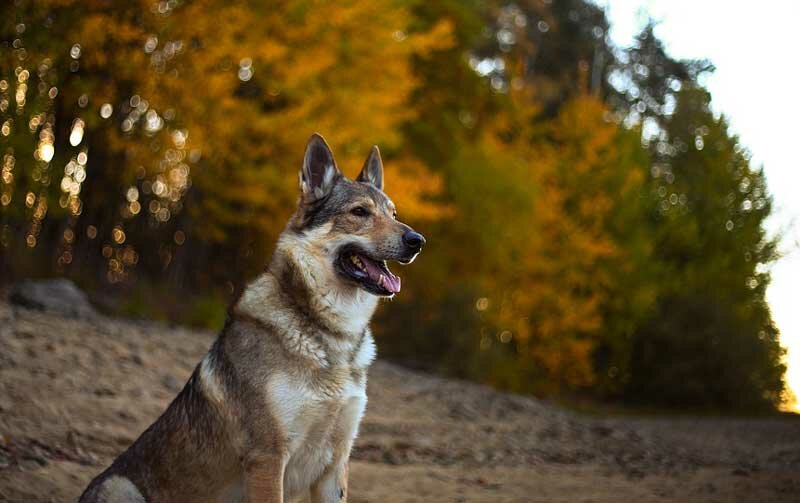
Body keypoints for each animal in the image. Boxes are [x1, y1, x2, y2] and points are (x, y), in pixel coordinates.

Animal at [82, 134, 428, 503]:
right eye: (360, 212)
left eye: (394, 214)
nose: (417, 240)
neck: (332, 334)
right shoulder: (268, 457)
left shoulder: (335, 465)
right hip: (119, 486)